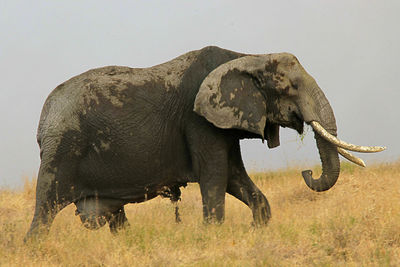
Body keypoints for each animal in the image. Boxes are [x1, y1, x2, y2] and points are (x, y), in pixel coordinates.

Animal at [25, 46, 384, 241]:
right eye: (289, 87)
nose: (307, 172)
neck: (247, 57)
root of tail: (43, 117)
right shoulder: (199, 122)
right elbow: (215, 177)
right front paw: (214, 235)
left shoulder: (223, 123)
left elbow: (235, 179)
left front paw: (257, 231)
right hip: (61, 150)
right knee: (44, 213)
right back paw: (35, 248)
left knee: (115, 218)